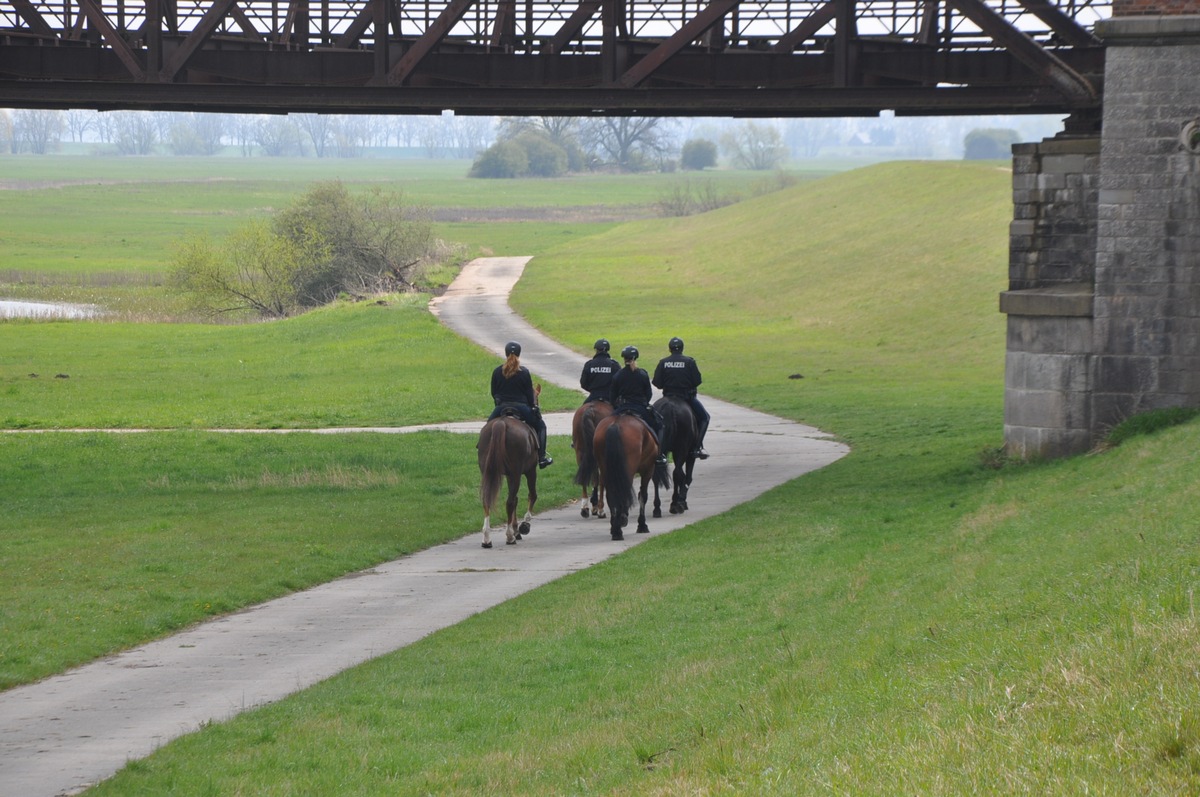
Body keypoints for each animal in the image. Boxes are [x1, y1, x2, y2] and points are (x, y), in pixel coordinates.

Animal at [472, 410, 540, 547]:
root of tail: (501, 423)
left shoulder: (509, 475)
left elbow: (517, 499)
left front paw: (517, 530)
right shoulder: (530, 471)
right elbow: (532, 495)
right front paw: (524, 525)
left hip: (488, 472)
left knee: (487, 500)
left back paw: (487, 539)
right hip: (516, 473)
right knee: (510, 502)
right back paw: (509, 537)